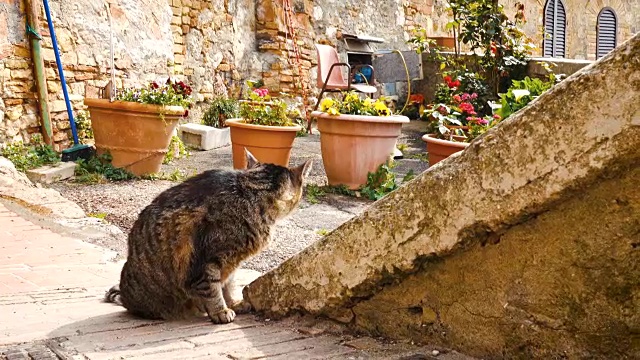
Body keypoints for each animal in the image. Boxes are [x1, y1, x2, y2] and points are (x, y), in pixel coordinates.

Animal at [105, 149, 312, 324]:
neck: (251, 192)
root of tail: (125, 297)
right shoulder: (207, 262)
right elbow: (212, 289)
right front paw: (220, 311)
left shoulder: (231, 261)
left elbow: (228, 285)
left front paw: (234, 302)